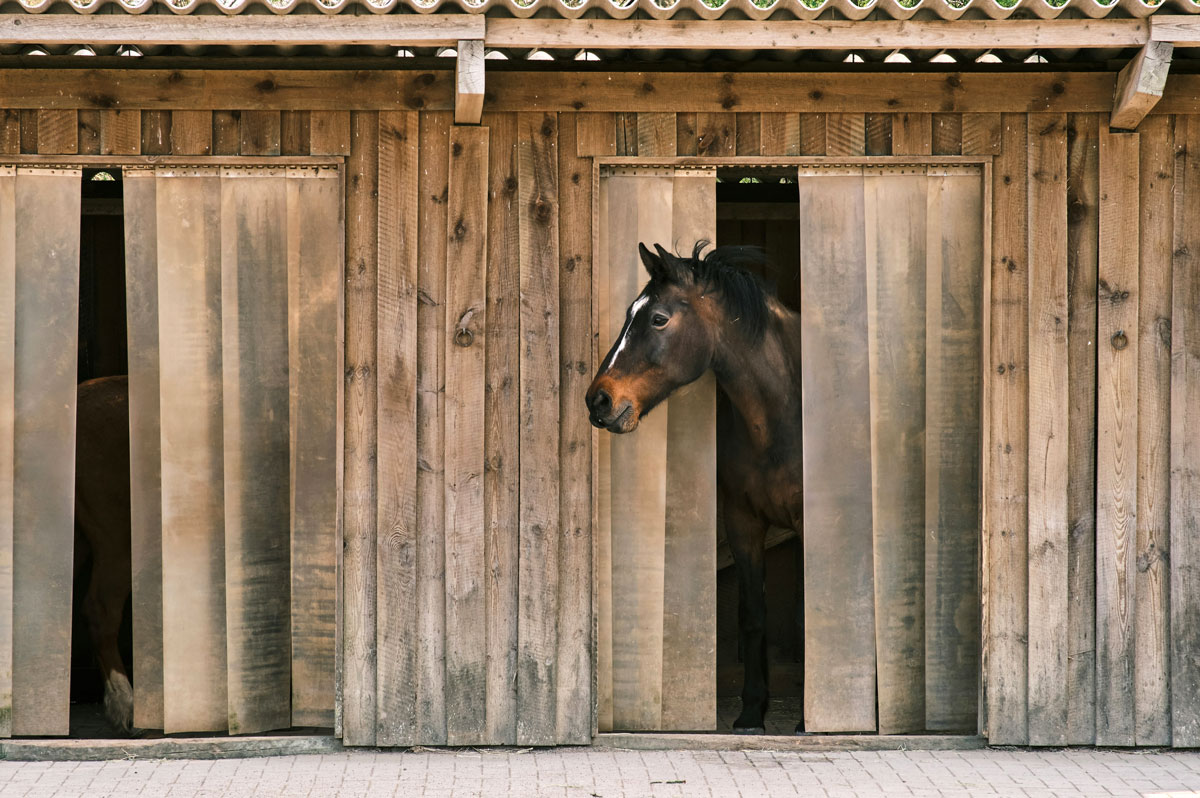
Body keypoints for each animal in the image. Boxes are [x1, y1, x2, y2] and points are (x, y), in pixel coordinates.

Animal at [586, 241, 803, 734]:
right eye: (630, 313)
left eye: (658, 318)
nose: (598, 401)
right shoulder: (743, 521)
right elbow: (752, 615)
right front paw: (751, 712)